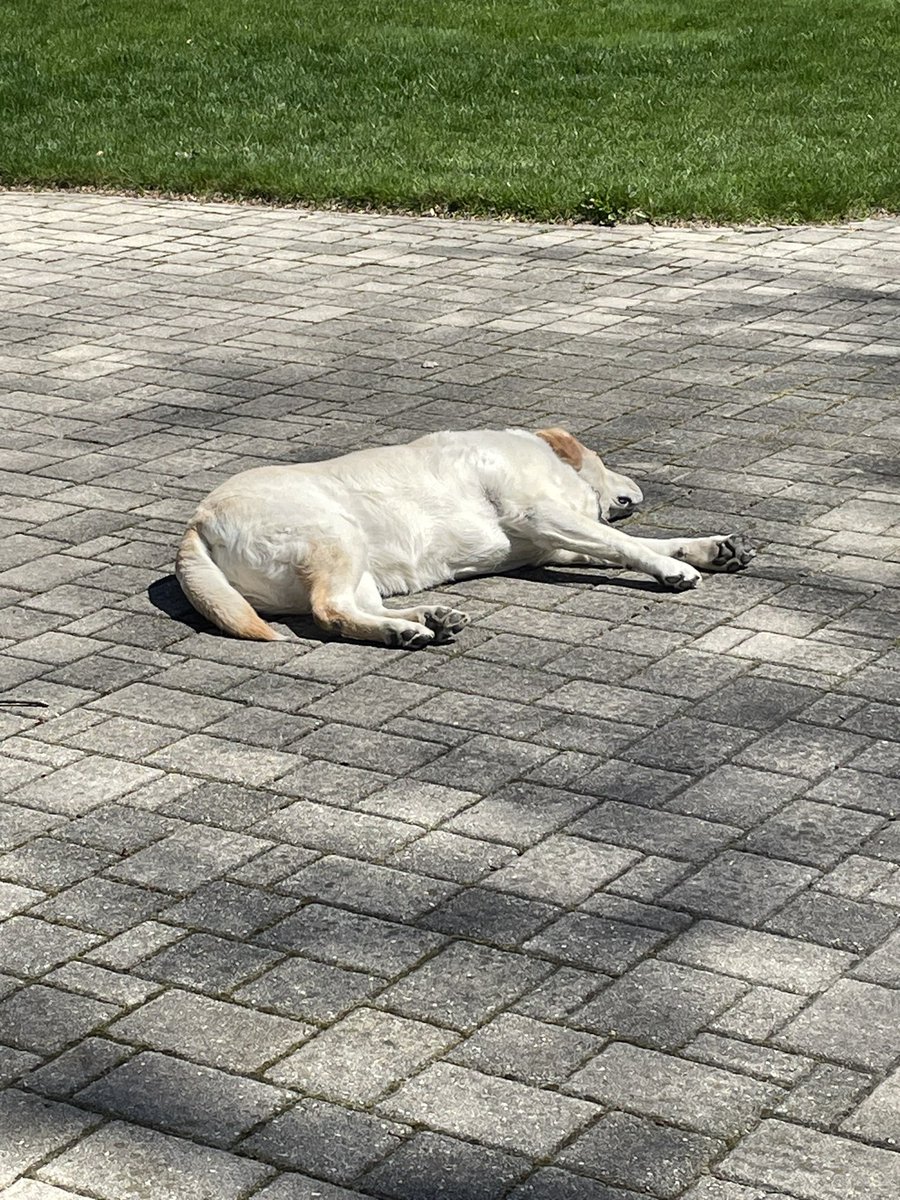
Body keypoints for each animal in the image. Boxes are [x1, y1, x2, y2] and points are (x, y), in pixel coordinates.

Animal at [174, 429, 753, 652]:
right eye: (606, 460)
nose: (640, 490)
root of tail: (196, 522)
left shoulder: (557, 543)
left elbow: (645, 541)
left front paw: (710, 547)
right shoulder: (542, 514)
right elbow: (626, 544)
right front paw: (676, 570)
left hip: (358, 562)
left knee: (349, 606)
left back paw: (427, 620)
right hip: (335, 536)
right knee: (329, 611)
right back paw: (403, 632)